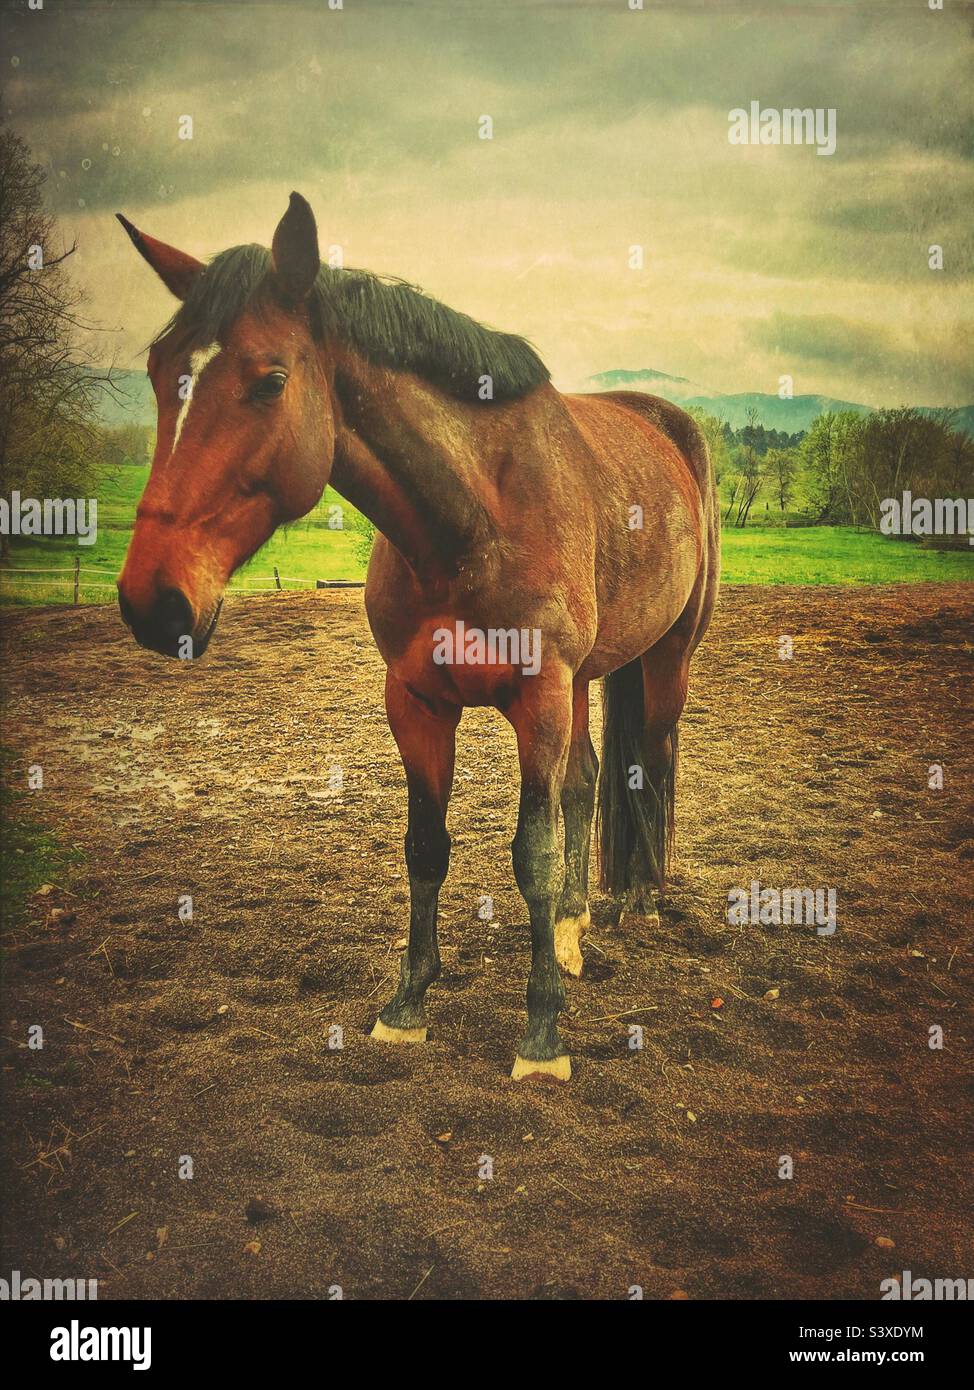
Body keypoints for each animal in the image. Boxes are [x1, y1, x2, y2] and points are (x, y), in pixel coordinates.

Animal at [115, 192, 720, 1081]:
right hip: (583, 680)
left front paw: (543, 1035)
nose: (151, 601)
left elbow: (532, 853)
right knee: (586, 782)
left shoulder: (538, 700)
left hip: (665, 660)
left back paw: (638, 901)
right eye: (161, 371)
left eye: (270, 380)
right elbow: (426, 845)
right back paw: (573, 928)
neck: (476, 514)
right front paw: (408, 1004)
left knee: (654, 758)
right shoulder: (417, 702)